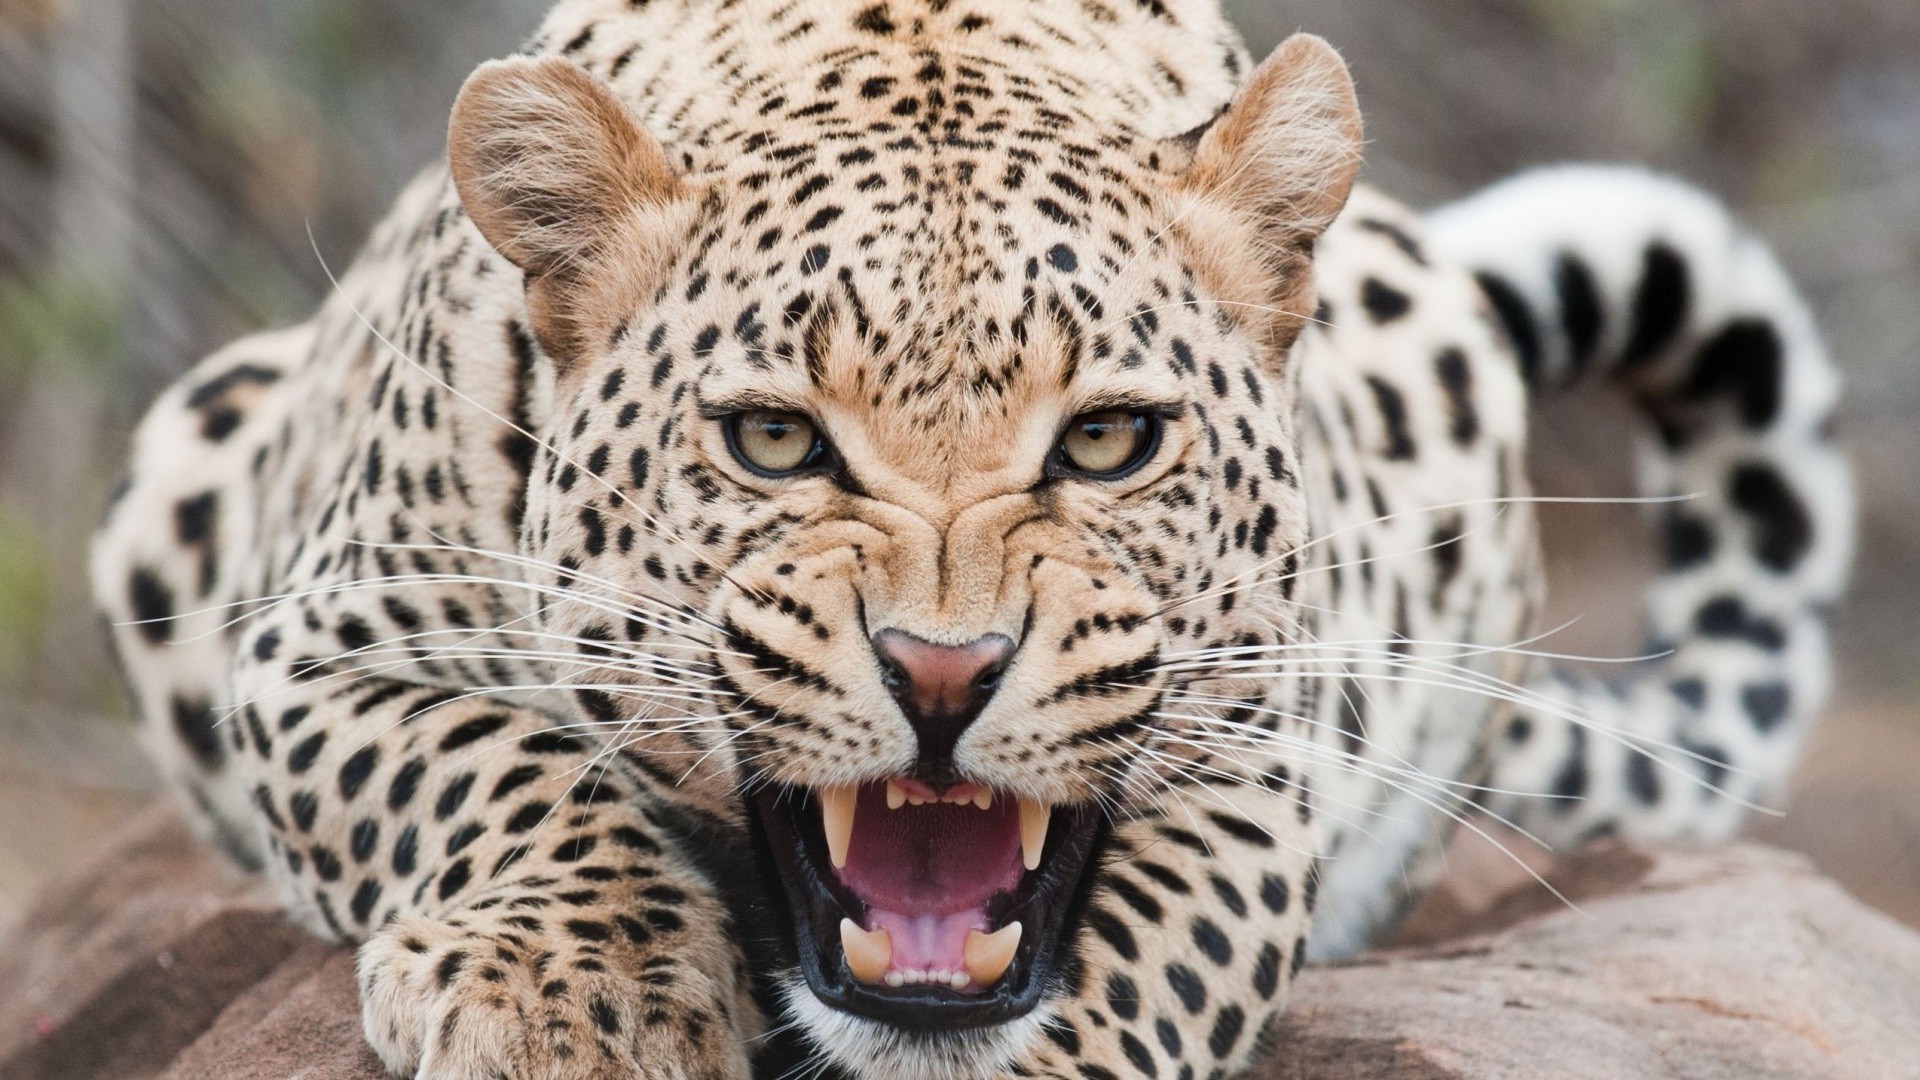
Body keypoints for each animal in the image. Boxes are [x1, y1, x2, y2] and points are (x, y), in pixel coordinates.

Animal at [86, 0, 1843, 1068]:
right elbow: (491, 771)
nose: (943, 674)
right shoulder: (314, 647)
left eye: (1111, 441)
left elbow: (1137, 968)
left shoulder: (1260, 760)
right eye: (776, 440)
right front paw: (577, 1002)